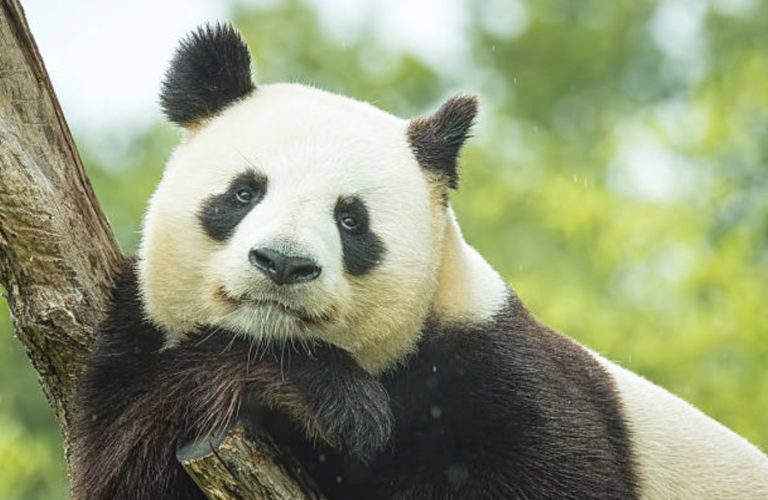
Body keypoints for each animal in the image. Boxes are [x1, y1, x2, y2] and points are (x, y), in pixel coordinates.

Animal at [71, 23, 768, 500]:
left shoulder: (502, 381)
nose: (283, 264)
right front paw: (331, 399)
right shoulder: (131, 349)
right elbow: (132, 456)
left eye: (351, 219)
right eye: (245, 192)